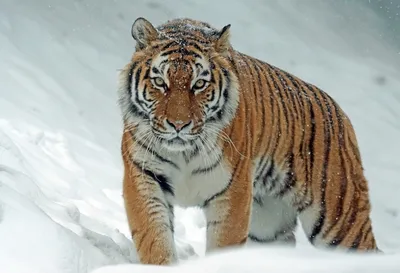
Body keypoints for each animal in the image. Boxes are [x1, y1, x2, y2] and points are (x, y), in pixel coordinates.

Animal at [117, 16, 380, 264]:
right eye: (160, 82)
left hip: (339, 220)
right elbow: (154, 238)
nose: (179, 125)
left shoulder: (232, 192)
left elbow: (224, 245)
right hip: (268, 226)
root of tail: (342, 114)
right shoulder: (144, 177)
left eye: (199, 84)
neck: (184, 152)